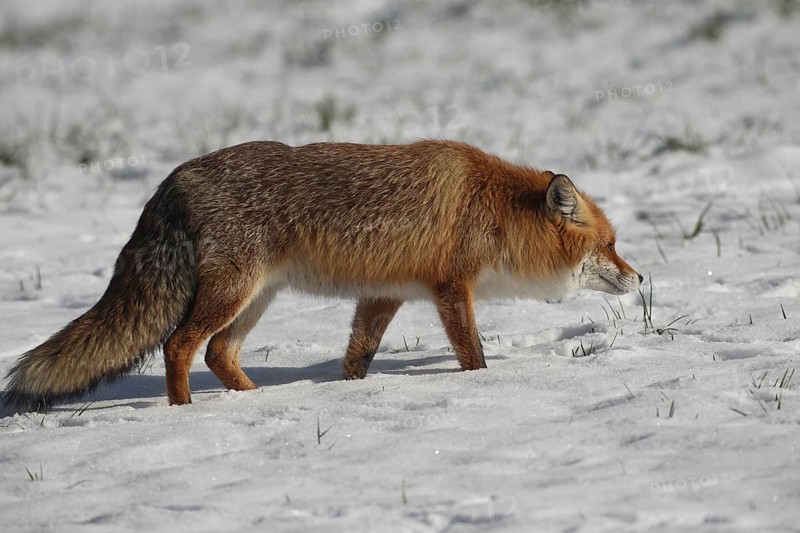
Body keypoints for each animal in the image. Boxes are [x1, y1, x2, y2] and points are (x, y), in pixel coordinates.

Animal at [3, 140, 641, 409]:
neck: (492, 210)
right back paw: (184, 412)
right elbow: (473, 355)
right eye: (611, 245)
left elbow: (357, 358)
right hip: (233, 292)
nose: (640, 279)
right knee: (179, 346)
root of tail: (174, 177)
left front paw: (345, 393)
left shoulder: (384, 295)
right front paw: (480, 384)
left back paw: (253, 402)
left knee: (217, 352)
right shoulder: (450, 288)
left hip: (256, 298)